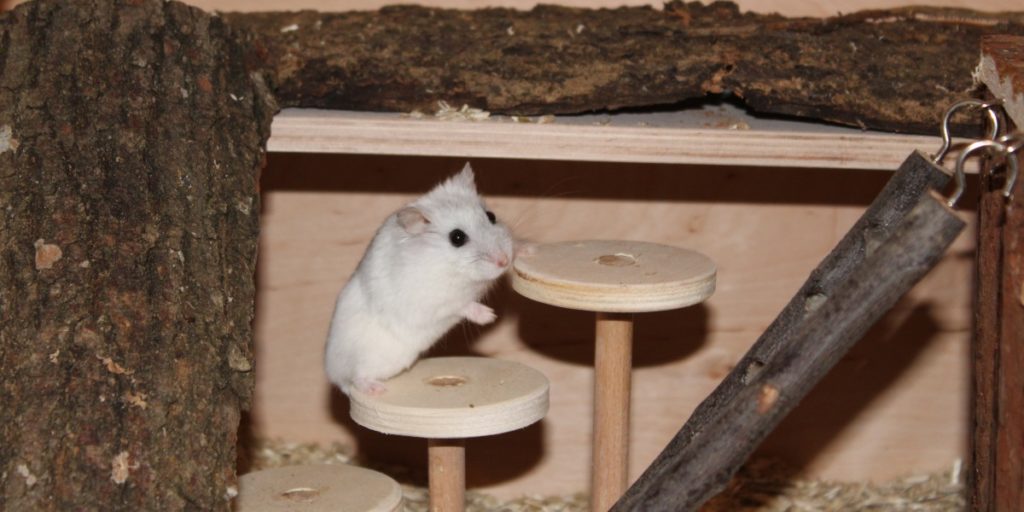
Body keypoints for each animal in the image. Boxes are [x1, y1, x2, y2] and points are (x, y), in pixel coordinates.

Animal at [325, 163, 514, 396]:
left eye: (491, 216)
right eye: (457, 238)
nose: (504, 261)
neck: (449, 269)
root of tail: (332, 373)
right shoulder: (429, 303)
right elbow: (459, 305)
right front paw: (489, 316)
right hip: (361, 360)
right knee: (355, 378)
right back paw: (376, 389)